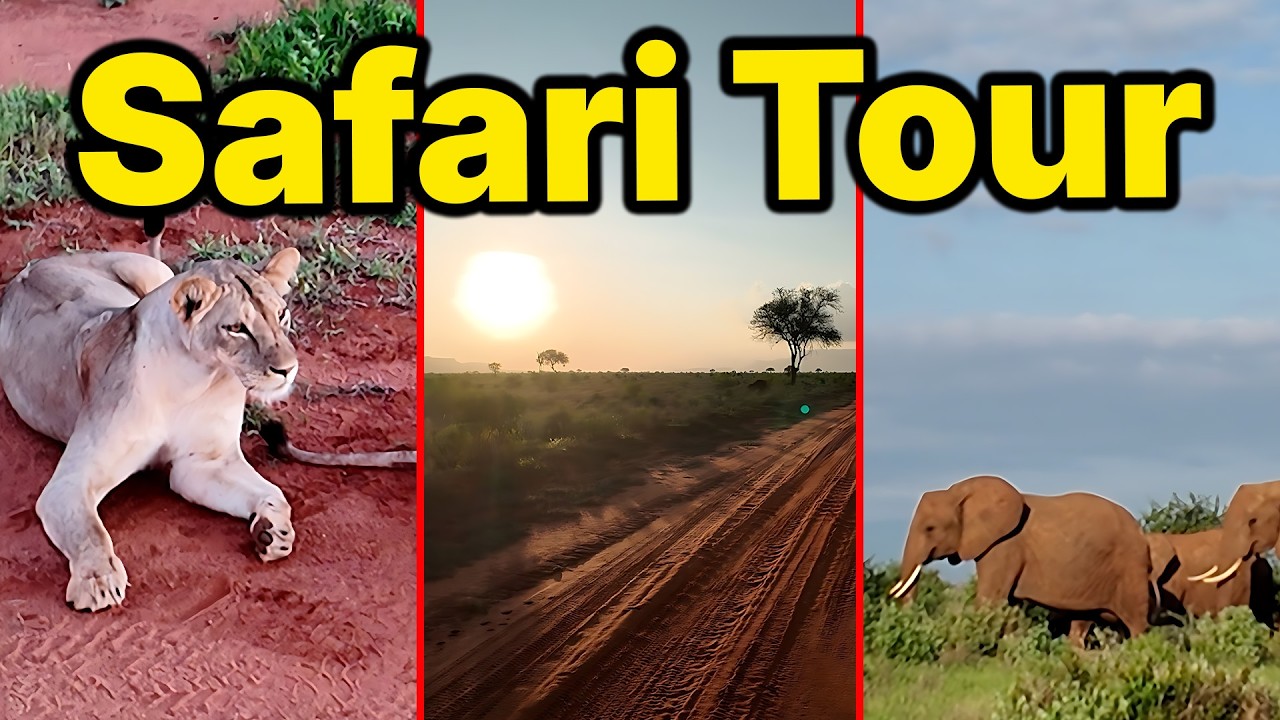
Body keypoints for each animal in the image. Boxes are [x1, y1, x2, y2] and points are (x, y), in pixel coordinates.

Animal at [0, 248, 311, 612]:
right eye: (237, 328)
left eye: (282, 314)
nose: (288, 370)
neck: (199, 379)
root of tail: (33, 266)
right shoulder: (69, 483)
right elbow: (89, 531)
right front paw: (97, 580)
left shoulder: (203, 464)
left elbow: (276, 496)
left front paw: (273, 532)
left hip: (153, 272)